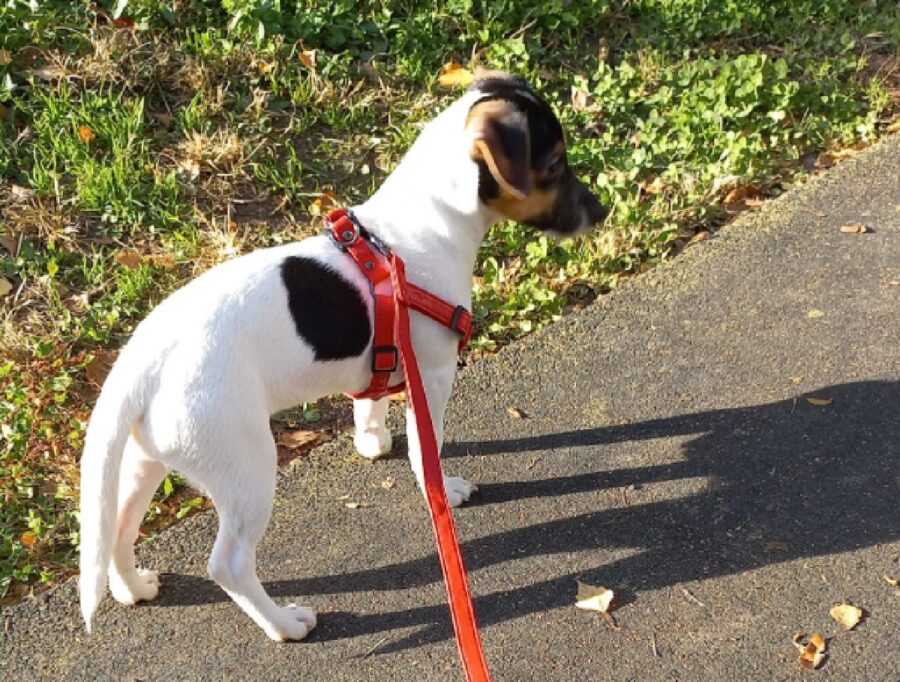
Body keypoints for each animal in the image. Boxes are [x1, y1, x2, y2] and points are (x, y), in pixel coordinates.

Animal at [81, 71, 608, 640]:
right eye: (553, 163)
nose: (601, 211)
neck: (429, 218)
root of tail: (141, 362)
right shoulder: (433, 375)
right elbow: (426, 448)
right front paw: (440, 488)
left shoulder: (384, 355)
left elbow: (371, 403)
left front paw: (372, 441)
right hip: (245, 464)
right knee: (229, 563)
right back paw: (284, 624)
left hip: (148, 458)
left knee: (119, 525)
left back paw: (133, 587)